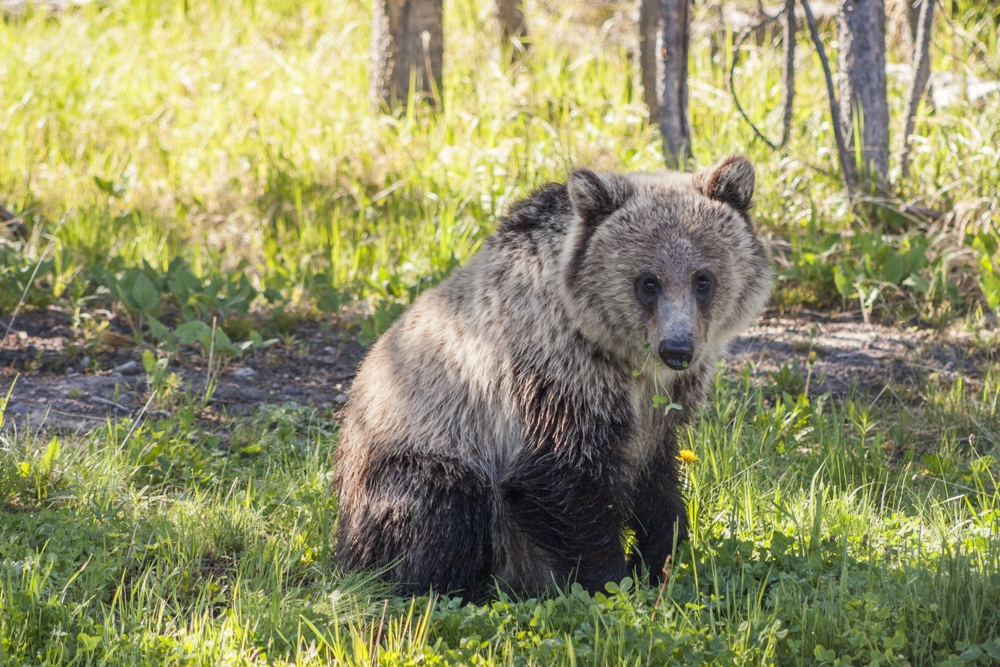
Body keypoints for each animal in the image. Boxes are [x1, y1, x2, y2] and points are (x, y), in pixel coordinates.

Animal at [332, 155, 768, 600]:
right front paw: (612, 581)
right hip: (414, 456)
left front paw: (659, 559)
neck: (625, 359)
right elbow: (563, 484)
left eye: (703, 279)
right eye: (648, 282)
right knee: (447, 507)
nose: (677, 348)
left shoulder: (662, 407)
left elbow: (658, 483)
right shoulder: (556, 378)